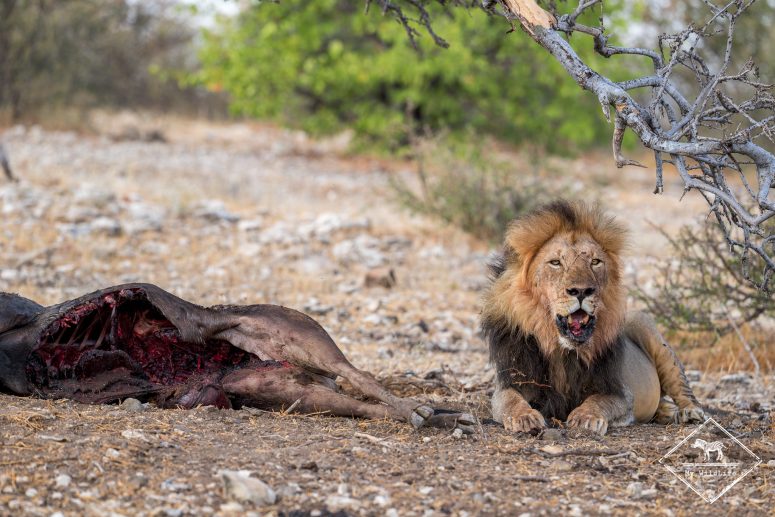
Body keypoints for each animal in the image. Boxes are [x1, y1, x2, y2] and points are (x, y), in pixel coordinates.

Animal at [481, 200, 705, 435]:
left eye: (595, 262)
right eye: (555, 262)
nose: (581, 291)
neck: (561, 350)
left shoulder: (620, 393)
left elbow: (599, 400)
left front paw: (586, 417)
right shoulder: (512, 380)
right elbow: (510, 400)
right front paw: (524, 417)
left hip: (647, 328)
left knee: (681, 385)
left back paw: (689, 412)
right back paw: (667, 412)